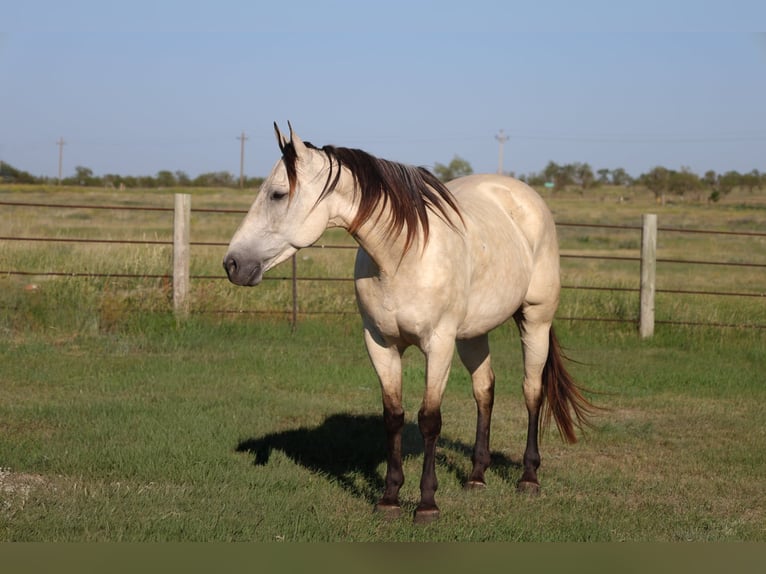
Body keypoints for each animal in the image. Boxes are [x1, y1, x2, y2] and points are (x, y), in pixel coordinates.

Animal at [223, 123, 597, 524]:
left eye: (277, 194)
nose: (232, 264)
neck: (402, 254)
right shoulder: (380, 343)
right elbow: (394, 416)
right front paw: (389, 498)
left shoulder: (439, 344)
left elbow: (429, 418)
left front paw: (427, 503)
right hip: (473, 335)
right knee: (485, 390)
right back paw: (476, 476)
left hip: (534, 320)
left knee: (532, 391)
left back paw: (529, 478)